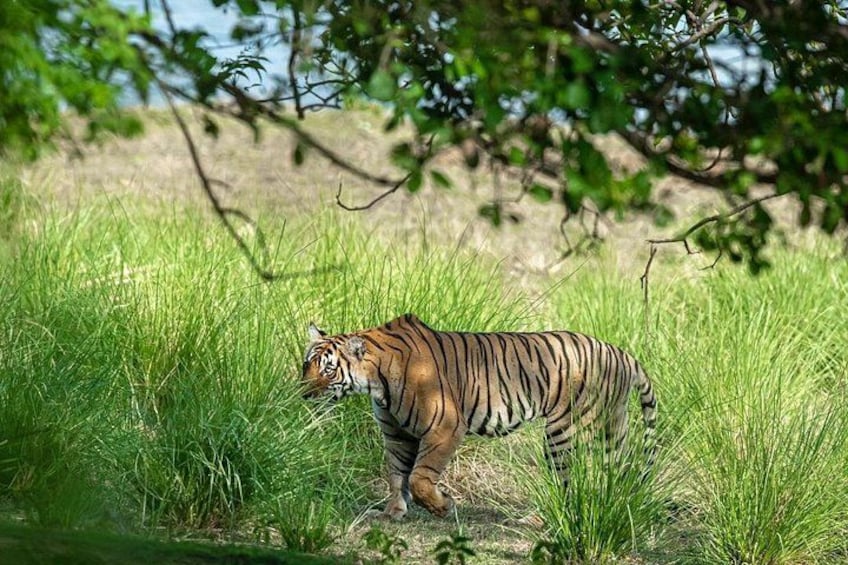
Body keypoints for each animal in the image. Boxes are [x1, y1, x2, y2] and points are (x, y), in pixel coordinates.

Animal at [301, 313, 657, 520]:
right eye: (307, 364)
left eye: (328, 370)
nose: (302, 394)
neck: (376, 383)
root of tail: (620, 352)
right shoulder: (396, 433)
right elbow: (397, 475)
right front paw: (392, 512)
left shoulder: (444, 426)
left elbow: (419, 477)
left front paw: (441, 507)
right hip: (613, 427)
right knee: (619, 468)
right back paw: (617, 502)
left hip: (564, 430)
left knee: (566, 480)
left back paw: (538, 519)